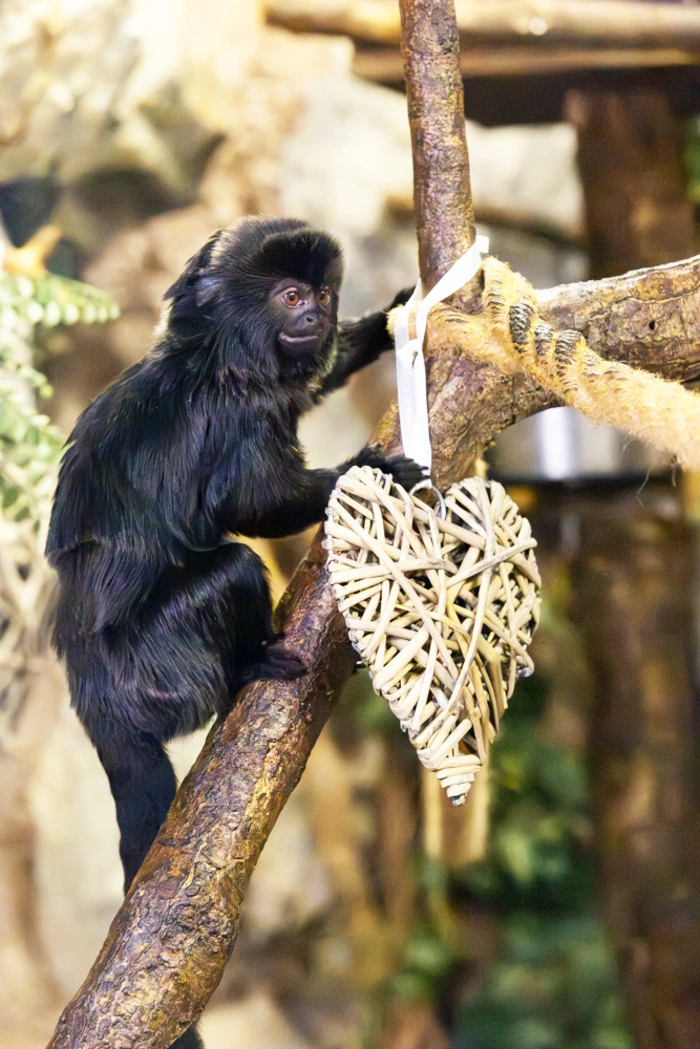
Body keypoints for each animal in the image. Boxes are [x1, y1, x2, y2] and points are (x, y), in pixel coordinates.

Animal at [45, 218, 422, 1046]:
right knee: (235, 568)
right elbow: (250, 501)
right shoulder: (234, 416)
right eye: (287, 296)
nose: (315, 311)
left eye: (319, 293)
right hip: (159, 666)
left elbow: (317, 379)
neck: (217, 356)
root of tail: (94, 696)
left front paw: (387, 319)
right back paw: (250, 664)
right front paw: (369, 470)